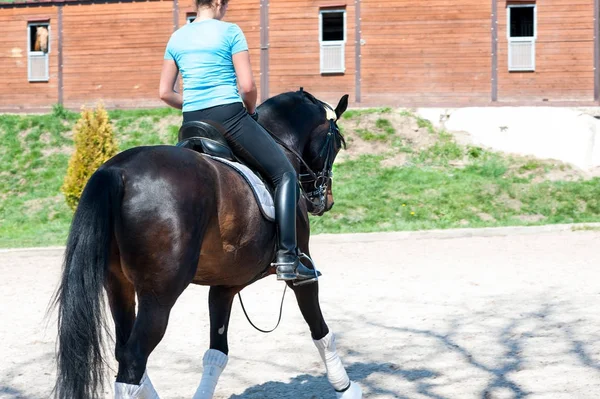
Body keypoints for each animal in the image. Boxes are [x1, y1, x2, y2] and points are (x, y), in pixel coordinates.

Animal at [52, 90, 360, 399]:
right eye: (338, 143)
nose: (325, 200)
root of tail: (119, 171)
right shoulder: (301, 270)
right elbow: (320, 329)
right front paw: (346, 388)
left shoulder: (224, 286)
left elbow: (217, 352)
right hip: (159, 296)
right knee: (133, 358)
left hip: (118, 286)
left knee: (123, 350)